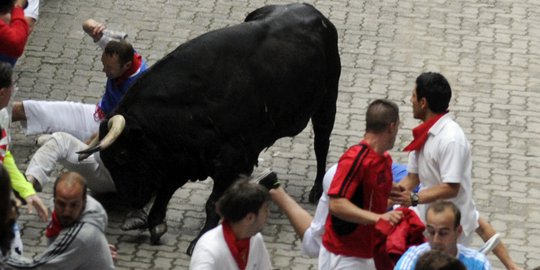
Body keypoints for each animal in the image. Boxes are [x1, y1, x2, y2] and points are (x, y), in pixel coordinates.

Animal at [79, 3, 340, 254]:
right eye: (106, 158)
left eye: (122, 155)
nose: (132, 201)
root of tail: (317, 15)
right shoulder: (185, 158)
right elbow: (166, 188)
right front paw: (156, 222)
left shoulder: (229, 159)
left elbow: (212, 202)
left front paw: (199, 239)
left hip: (327, 101)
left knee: (322, 143)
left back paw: (317, 189)